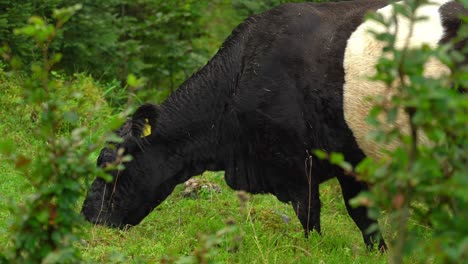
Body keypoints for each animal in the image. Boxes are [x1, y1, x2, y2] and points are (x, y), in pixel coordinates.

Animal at [80, 0, 464, 251]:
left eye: (113, 167)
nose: (88, 218)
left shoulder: (295, 161)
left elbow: (309, 215)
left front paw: (312, 253)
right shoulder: (349, 159)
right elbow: (361, 216)